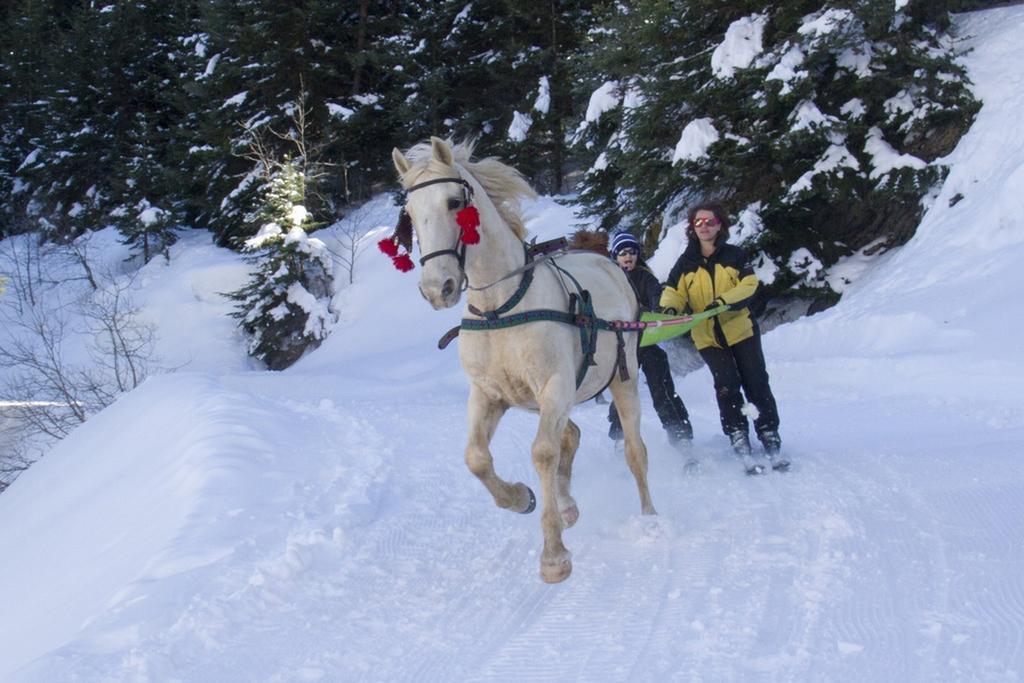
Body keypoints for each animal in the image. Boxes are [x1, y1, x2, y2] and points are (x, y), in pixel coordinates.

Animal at [391, 137, 655, 581]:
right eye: (409, 214)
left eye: (453, 203)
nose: (436, 288)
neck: (501, 308)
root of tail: (604, 260)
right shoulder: (488, 395)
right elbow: (476, 458)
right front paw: (521, 498)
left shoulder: (555, 387)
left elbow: (542, 453)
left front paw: (554, 555)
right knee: (571, 435)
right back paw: (567, 505)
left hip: (622, 379)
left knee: (634, 451)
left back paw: (650, 519)